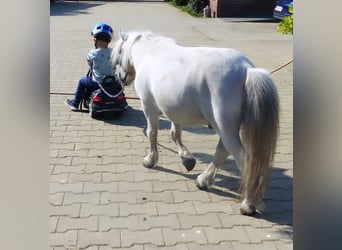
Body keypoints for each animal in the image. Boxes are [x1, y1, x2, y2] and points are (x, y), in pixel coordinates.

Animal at [111, 30, 278, 215]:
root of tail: (246, 69)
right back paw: (203, 181)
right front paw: (187, 159)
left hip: (224, 127)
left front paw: (150, 160)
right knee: (222, 151)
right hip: (223, 128)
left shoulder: (149, 108)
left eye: (120, 52)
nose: (121, 78)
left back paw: (248, 203)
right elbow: (175, 134)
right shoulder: (173, 111)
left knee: (241, 157)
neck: (150, 53)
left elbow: (152, 134)